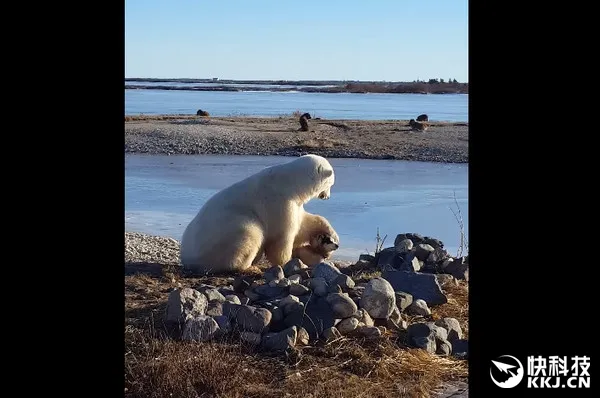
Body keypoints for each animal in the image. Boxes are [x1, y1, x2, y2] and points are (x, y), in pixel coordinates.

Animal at [179, 154, 338, 276]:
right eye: (331, 184)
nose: (327, 197)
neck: (290, 183)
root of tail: (187, 258)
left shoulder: (294, 204)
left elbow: (303, 224)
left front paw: (330, 235)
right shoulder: (279, 202)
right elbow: (282, 237)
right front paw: (290, 263)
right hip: (224, 233)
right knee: (249, 233)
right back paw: (250, 267)